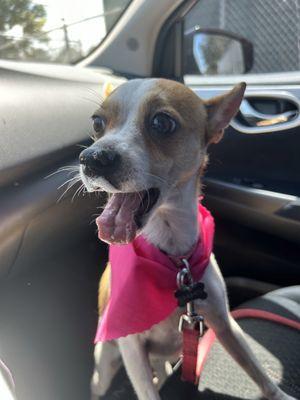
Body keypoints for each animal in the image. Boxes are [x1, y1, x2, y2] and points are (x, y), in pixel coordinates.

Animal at [79, 79, 296, 400]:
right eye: (96, 123)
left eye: (162, 122)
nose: (92, 158)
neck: (173, 257)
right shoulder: (132, 348)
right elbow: (147, 393)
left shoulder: (225, 324)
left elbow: (256, 369)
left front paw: (279, 394)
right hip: (107, 364)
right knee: (102, 383)